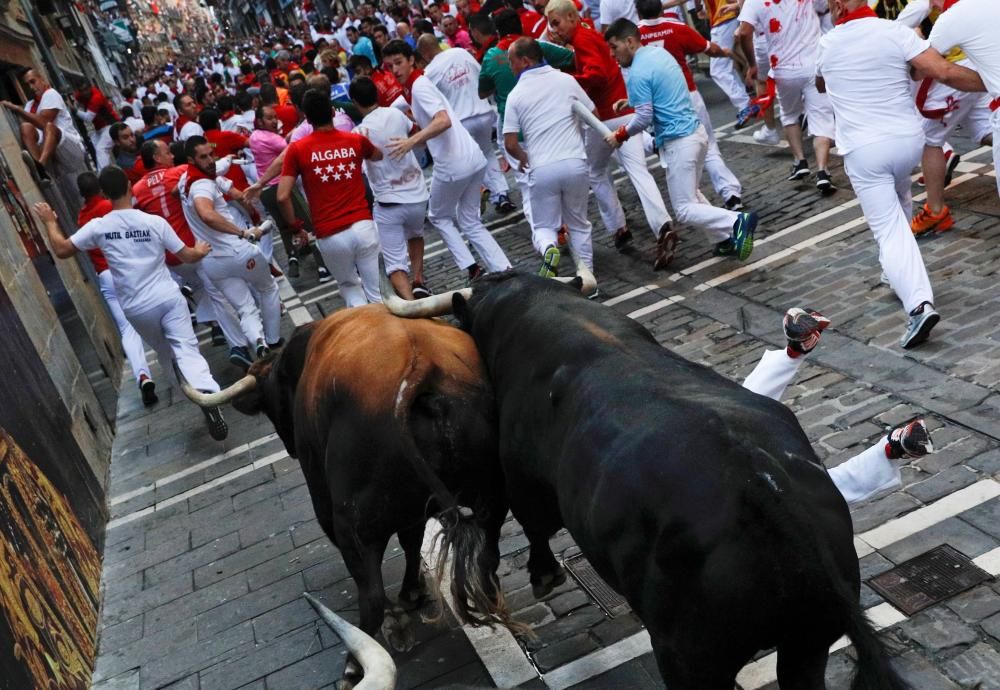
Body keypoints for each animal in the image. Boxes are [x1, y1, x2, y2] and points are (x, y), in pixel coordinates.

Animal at [436, 272, 900, 688]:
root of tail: (764, 485)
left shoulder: (522, 476)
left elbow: (534, 525)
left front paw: (543, 575)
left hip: (689, 657)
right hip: (807, 641)